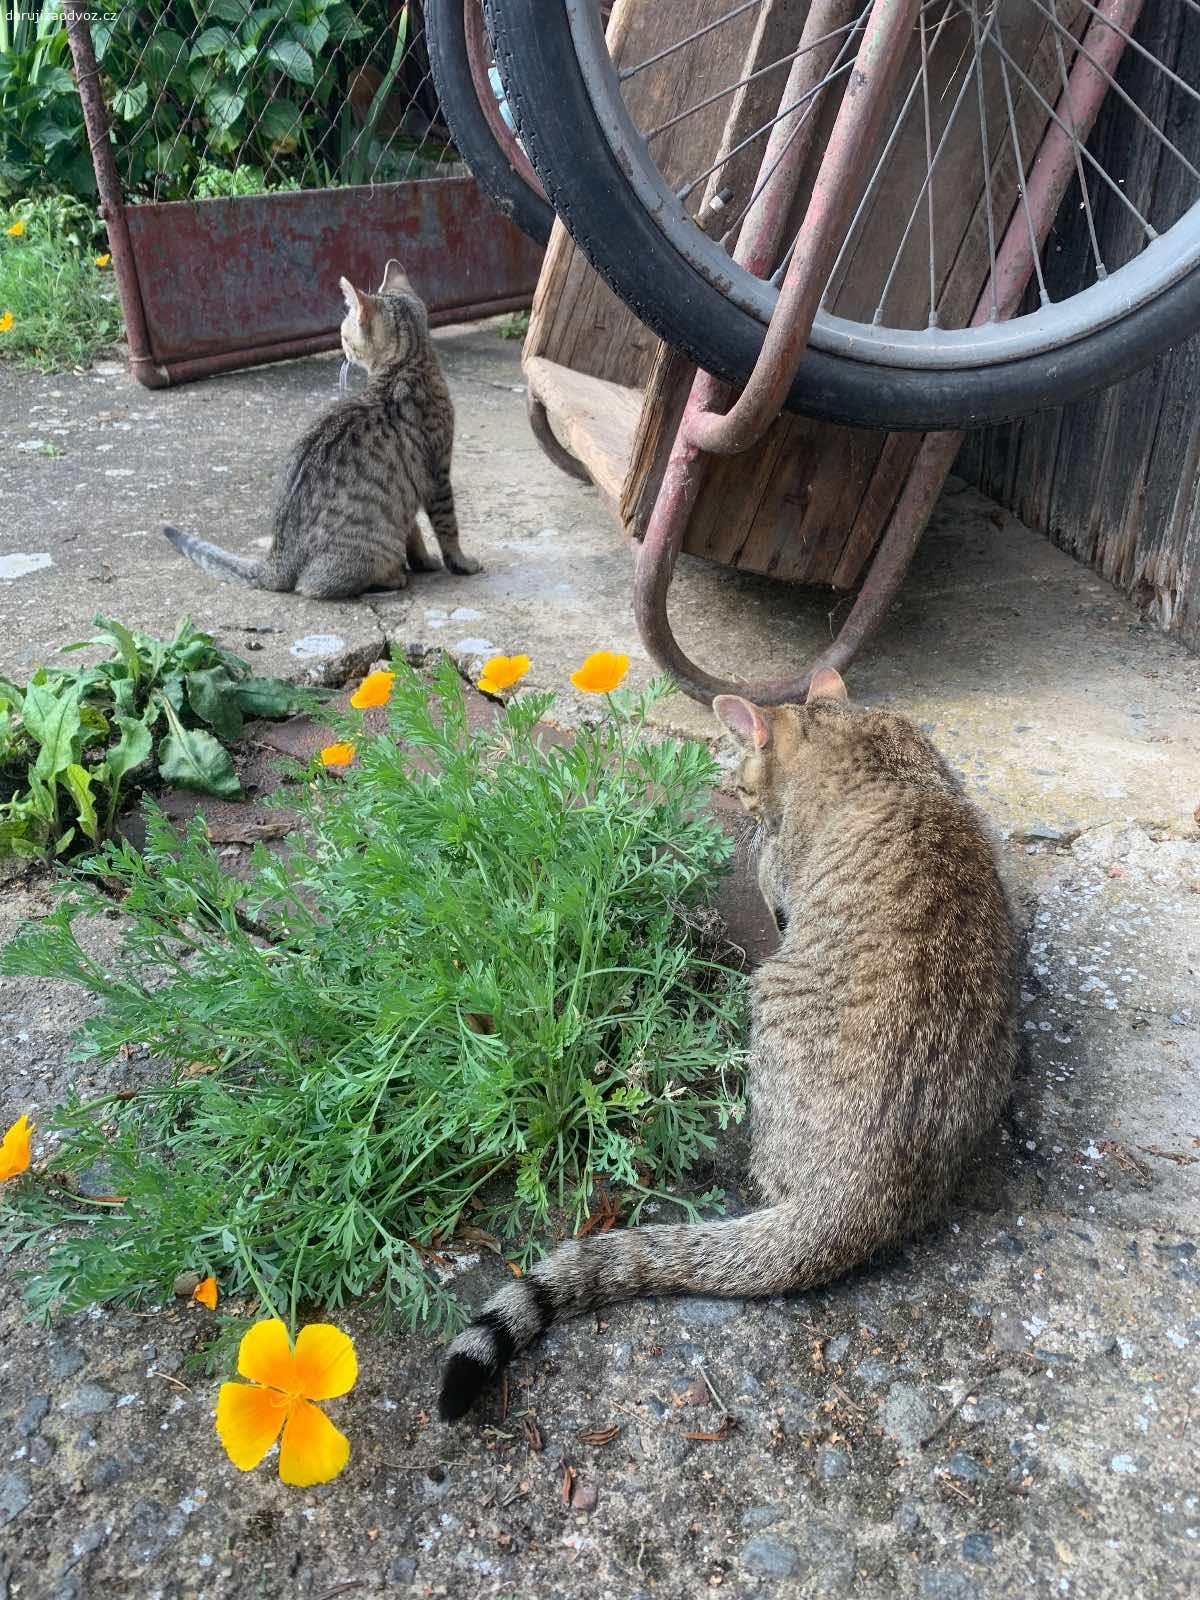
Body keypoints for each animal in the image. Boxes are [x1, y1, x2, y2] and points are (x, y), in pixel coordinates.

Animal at [162, 262, 483, 601]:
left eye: (343, 335)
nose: (340, 347)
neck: (406, 365)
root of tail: (277, 560)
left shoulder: (410, 492)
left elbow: (416, 532)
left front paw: (424, 561)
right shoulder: (437, 475)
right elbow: (447, 526)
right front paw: (459, 563)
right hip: (365, 548)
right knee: (312, 586)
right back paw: (390, 577)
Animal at [438, 668, 1017, 1420]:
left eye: (741, 780)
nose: (741, 804)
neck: (854, 735)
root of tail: (853, 1201)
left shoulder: (782, 868)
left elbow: (772, 870)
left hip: (769, 998)